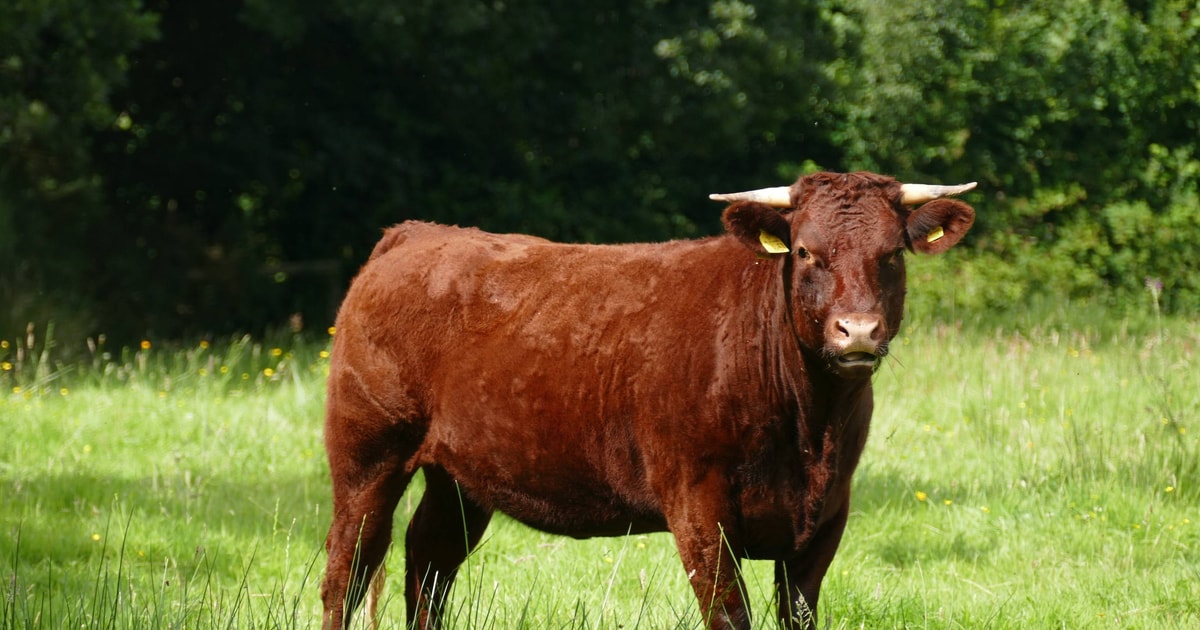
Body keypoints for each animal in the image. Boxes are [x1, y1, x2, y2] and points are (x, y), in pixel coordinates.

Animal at [319, 171, 976, 630]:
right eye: (806, 252)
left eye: (891, 253)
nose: (857, 331)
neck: (811, 430)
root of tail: (417, 233)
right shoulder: (698, 504)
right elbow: (730, 614)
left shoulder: (828, 513)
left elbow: (799, 614)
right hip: (367, 455)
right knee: (348, 569)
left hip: (460, 478)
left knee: (428, 562)